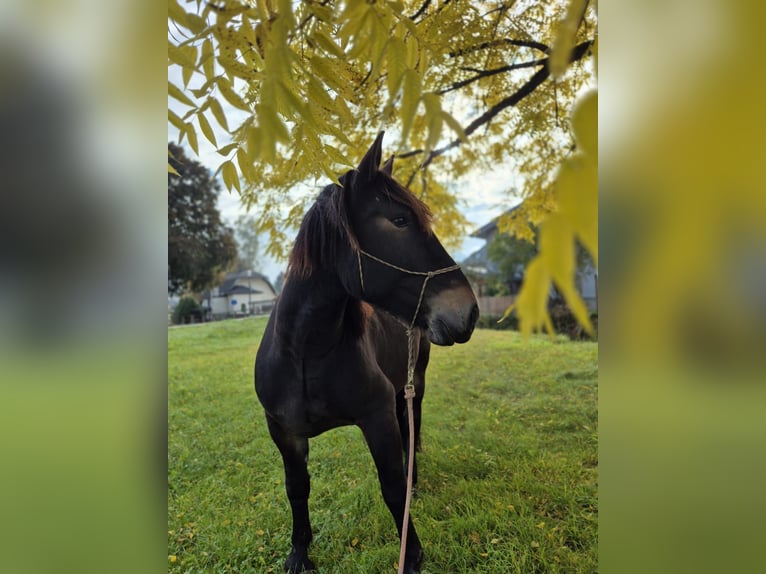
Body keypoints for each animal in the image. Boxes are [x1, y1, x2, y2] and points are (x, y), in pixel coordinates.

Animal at [254, 132, 479, 573]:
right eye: (400, 220)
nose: (469, 312)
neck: (306, 354)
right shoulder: (283, 431)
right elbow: (296, 488)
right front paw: (299, 553)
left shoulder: (377, 416)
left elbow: (392, 486)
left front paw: (411, 555)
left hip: (415, 385)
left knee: (413, 428)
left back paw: (415, 481)